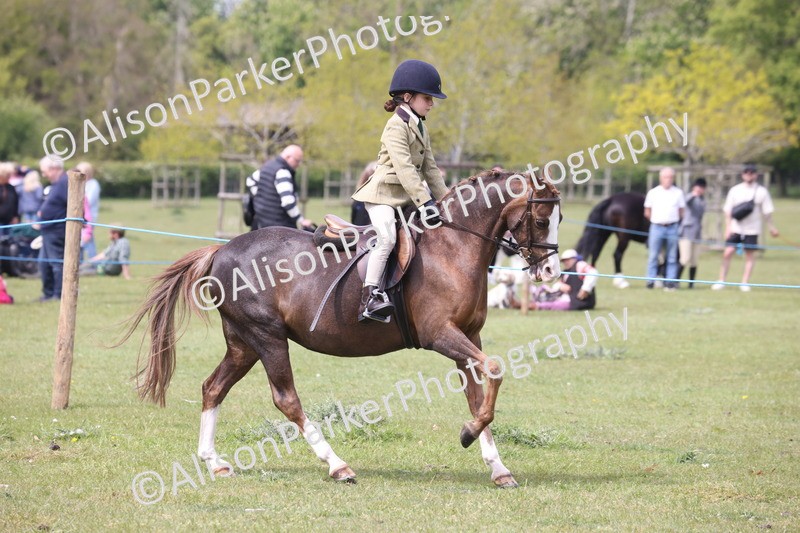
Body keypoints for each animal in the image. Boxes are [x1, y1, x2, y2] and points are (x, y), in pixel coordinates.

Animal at [122, 170, 562, 488]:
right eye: (542, 220)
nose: (551, 272)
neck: (453, 247)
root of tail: (222, 249)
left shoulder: (469, 337)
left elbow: (477, 396)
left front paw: (496, 466)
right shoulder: (442, 336)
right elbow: (495, 371)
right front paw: (469, 434)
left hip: (243, 344)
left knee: (213, 388)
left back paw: (214, 462)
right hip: (267, 337)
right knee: (287, 400)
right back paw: (337, 466)